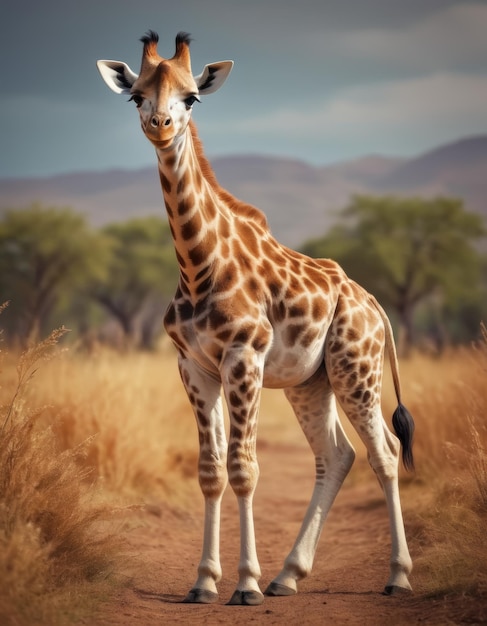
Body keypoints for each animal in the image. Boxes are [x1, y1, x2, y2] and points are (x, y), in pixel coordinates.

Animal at [98, 30, 416, 604]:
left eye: (191, 97)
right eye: (136, 96)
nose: (162, 126)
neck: (197, 267)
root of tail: (374, 303)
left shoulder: (244, 357)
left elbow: (244, 469)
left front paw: (243, 584)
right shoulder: (194, 367)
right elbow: (210, 471)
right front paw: (203, 582)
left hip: (357, 369)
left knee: (383, 451)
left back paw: (397, 576)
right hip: (311, 382)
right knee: (337, 455)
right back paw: (288, 574)